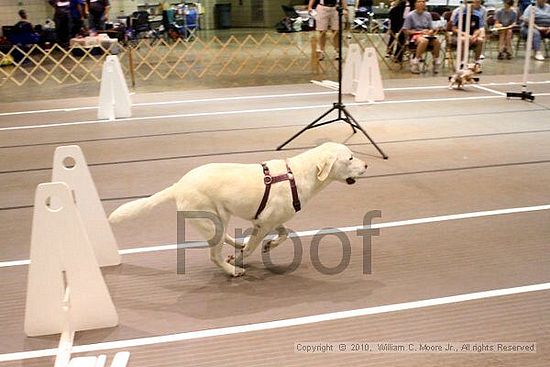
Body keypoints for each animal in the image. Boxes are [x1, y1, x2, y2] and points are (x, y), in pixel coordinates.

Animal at [109, 142, 368, 278]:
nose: (366, 164)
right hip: (213, 219)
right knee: (214, 254)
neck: (295, 176)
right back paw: (232, 270)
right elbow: (253, 247)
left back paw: (236, 246)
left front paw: (268, 245)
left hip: (220, 218)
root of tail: (178, 185)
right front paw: (241, 259)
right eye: (350, 158)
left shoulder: (268, 221)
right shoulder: (263, 224)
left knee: (225, 237)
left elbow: (284, 233)